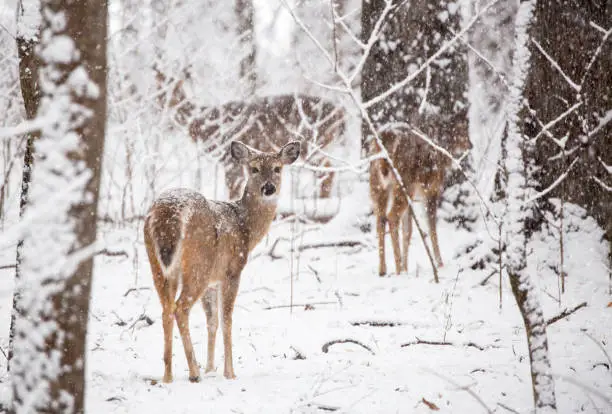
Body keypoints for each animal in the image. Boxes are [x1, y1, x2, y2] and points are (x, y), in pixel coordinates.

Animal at [146, 139, 304, 382]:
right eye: (254, 168)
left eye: (277, 168)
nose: (268, 188)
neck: (245, 226)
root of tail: (168, 212)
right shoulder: (232, 270)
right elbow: (227, 320)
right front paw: (229, 372)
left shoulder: (213, 281)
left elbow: (212, 321)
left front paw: (211, 368)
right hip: (198, 263)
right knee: (181, 308)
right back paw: (194, 373)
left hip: (159, 264)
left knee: (166, 309)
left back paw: (168, 376)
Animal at [153, 68, 344, 201]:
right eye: (159, 86)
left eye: (173, 89)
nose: (161, 102)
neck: (206, 125)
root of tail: (342, 116)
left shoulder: (229, 160)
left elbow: (233, 189)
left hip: (314, 143)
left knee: (327, 171)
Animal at [368, 118, 474, 276]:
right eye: (464, 131)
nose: (471, 145)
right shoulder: (431, 191)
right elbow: (432, 229)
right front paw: (439, 264)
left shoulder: (414, 198)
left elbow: (408, 231)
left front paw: (406, 267)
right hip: (404, 183)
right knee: (392, 216)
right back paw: (398, 270)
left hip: (378, 185)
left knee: (380, 219)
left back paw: (383, 270)